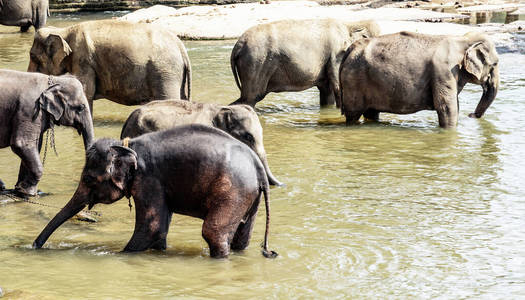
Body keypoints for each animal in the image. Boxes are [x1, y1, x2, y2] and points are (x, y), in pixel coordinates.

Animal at [27, 19, 191, 115]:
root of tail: (181, 47)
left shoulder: (84, 60)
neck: (65, 30)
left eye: (33, 56)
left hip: (165, 73)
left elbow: (86, 92)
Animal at [32, 124, 278, 258]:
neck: (127, 146)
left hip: (233, 191)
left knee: (213, 232)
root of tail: (258, 166)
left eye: (88, 179)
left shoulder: (149, 180)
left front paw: (116, 255)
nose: (34, 246)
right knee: (241, 237)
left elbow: (152, 227)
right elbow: (161, 229)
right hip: (249, 196)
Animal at [229, 19, 376, 108]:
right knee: (251, 97)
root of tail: (238, 45)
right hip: (256, 62)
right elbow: (338, 88)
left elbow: (327, 93)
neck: (349, 25)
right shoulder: (336, 55)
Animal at [338, 31, 498, 127]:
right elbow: (447, 107)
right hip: (354, 81)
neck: (463, 39)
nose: (471, 114)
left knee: (372, 112)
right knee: (353, 114)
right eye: (495, 64)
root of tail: (350, 49)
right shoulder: (444, 71)